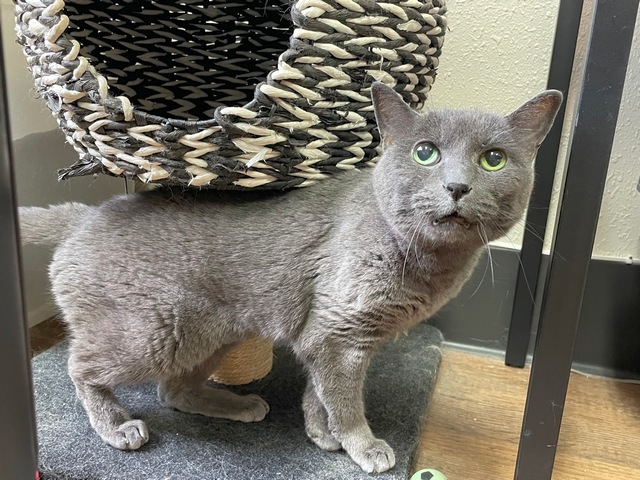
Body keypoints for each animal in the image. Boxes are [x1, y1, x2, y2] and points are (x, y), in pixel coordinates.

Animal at [18, 81, 560, 472]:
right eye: (425, 152)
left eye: (493, 159)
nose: (457, 186)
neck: (427, 264)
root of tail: (84, 216)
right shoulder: (341, 334)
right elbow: (345, 400)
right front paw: (363, 446)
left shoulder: (328, 336)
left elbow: (319, 392)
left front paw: (321, 434)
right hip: (155, 331)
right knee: (80, 367)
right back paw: (118, 427)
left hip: (208, 334)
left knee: (170, 392)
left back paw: (239, 405)